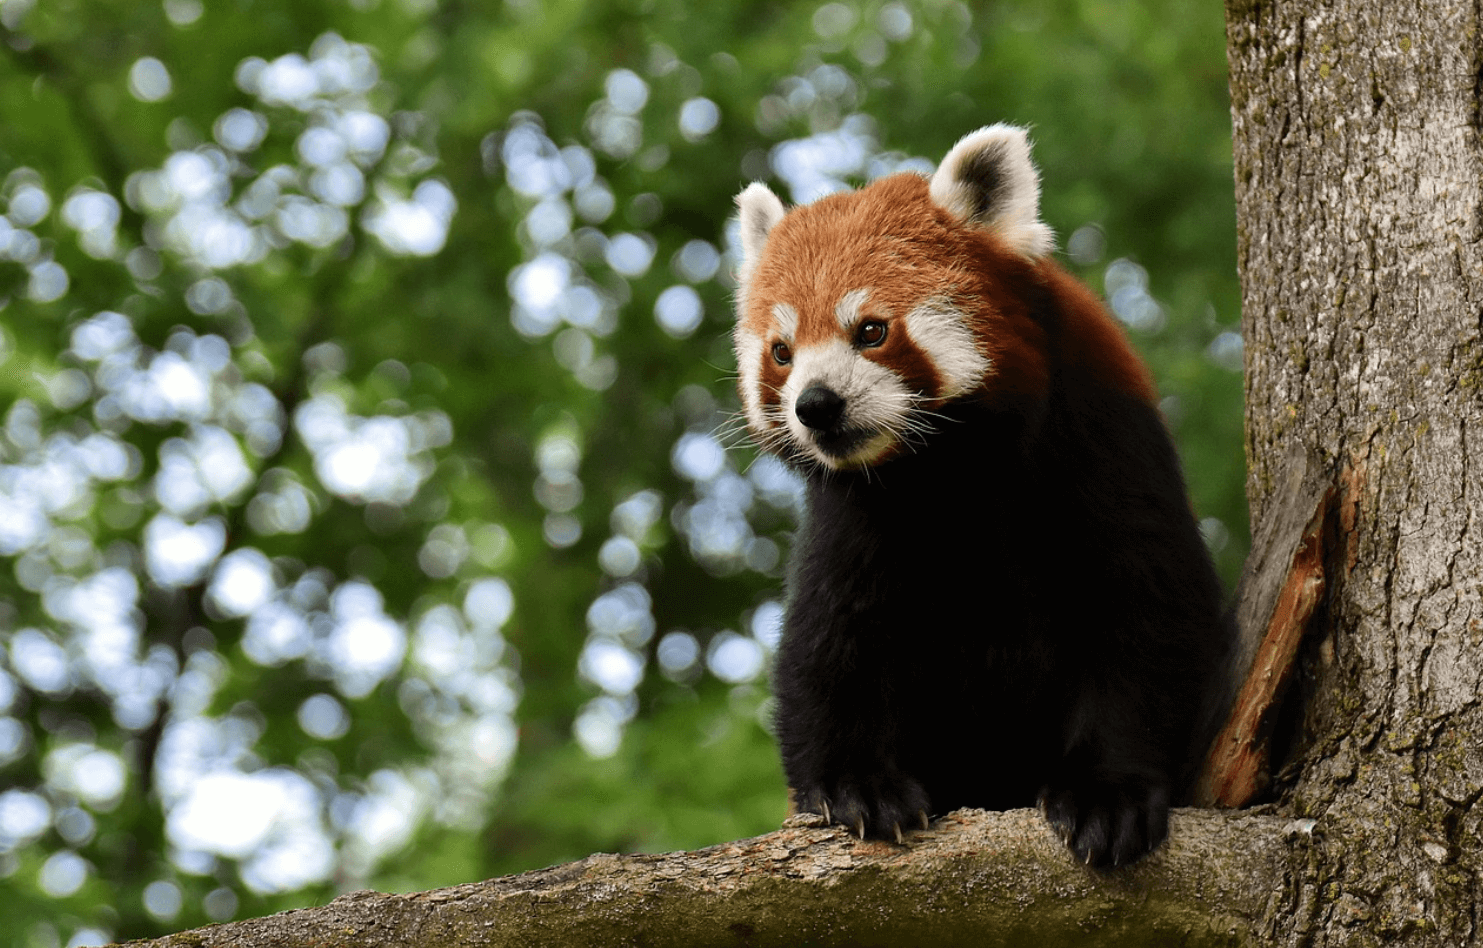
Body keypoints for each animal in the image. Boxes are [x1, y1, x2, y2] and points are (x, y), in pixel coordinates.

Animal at [735, 126, 1233, 866]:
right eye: (781, 352)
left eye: (871, 331)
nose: (815, 406)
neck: (949, 470)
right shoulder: (856, 515)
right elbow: (828, 641)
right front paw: (858, 786)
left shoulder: (1104, 443)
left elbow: (1148, 613)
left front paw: (1107, 793)